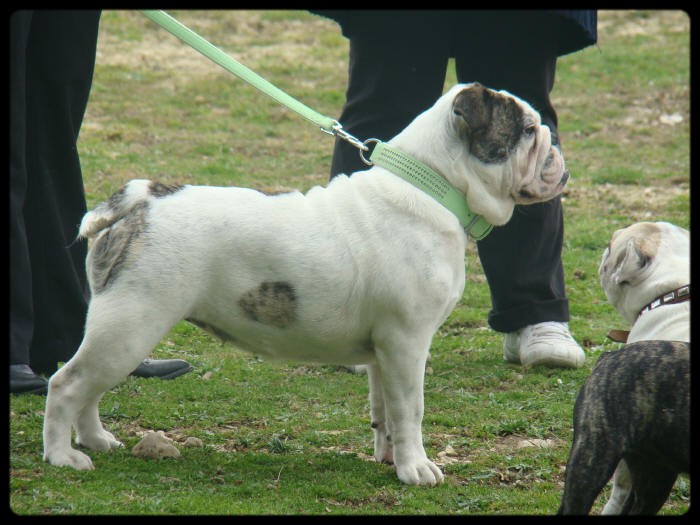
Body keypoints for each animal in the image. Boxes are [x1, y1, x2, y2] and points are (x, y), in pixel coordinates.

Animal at [42, 84, 568, 486]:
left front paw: (389, 457)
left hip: (123, 332)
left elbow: (384, 409)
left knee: (90, 389)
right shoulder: (407, 342)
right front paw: (416, 468)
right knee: (67, 383)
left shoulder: (384, 351)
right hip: (130, 326)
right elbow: (411, 409)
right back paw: (63, 456)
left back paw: (96, 439)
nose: (554, 143)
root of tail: (140, 200)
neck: (432, 185)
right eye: (525, 131)